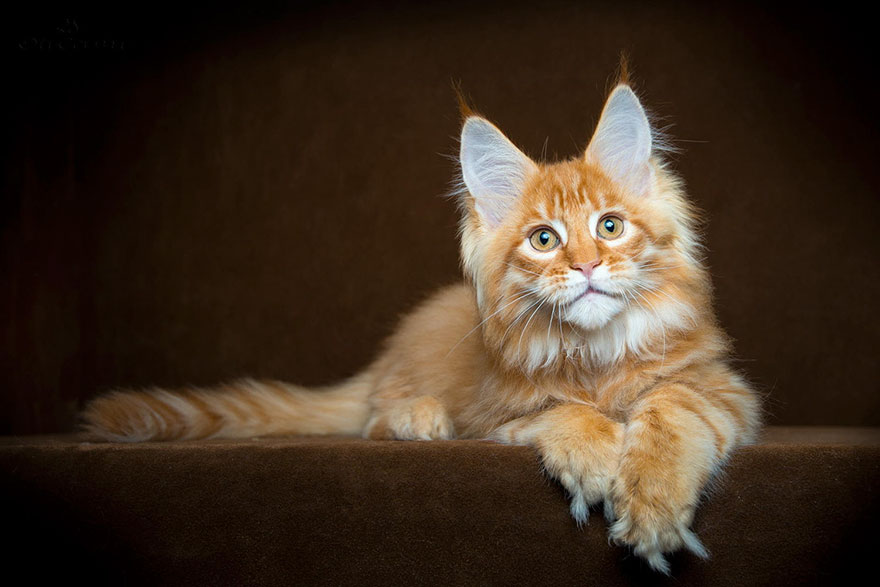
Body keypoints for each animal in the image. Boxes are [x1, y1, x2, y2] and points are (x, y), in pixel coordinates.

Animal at [79, 70, 760, 576]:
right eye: (543, 240)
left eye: (610, 227)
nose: (588, 264)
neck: (595, 356)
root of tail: (387, 355)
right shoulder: (496, 411)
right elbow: (561, 410)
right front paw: (594, 455)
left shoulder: (719, 387)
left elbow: (671, 411)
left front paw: (653, 505)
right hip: (403, 392)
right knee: (375, 417)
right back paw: (419, 417)